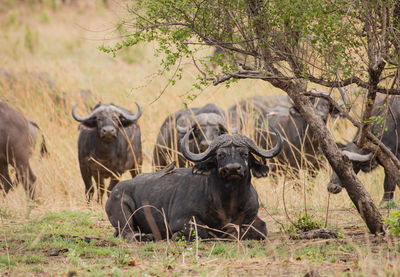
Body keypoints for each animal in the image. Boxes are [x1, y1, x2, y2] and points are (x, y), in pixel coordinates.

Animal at [104, 126, 282, 240]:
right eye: (220, 155)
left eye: (244, 154)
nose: (232, 169)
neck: (229, 201)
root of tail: (115, 191)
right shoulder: (180, 220)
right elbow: (203, 231)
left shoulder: (253, 217)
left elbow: (260, 229)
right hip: (122, 213)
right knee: (127, 233)